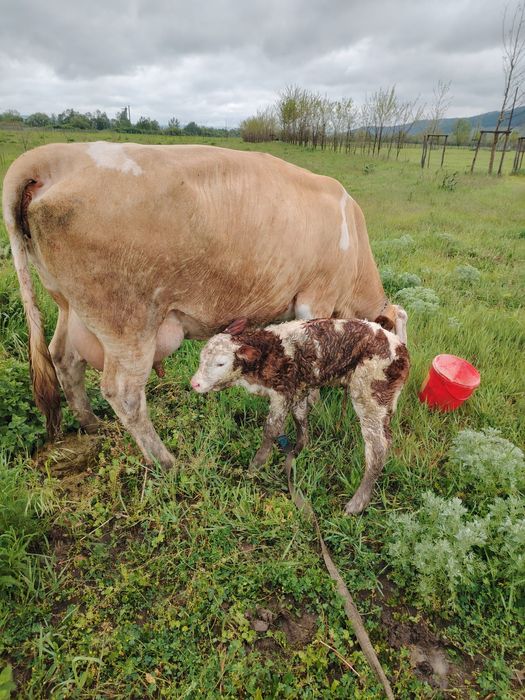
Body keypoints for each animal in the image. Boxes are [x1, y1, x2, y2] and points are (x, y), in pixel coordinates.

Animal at [2, 142, 407, 468]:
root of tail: (55, 156)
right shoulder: (316, 298)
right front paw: (315, 408)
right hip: (125, 321)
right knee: (124, 392)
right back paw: (166, 462)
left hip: (71, 308)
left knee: (64, 359)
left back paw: (92, 425)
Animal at [190, 317, 410, 514]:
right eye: (201, 358)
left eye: (220, 363)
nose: (195, 383)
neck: (270, 351)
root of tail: (400, 347)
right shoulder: (299, 388)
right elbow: (300, 418)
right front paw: (300, 448)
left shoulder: (282, 392)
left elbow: (271, 429)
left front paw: (255, 467)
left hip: (371, 395)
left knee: (378, 449)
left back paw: (357, 504)